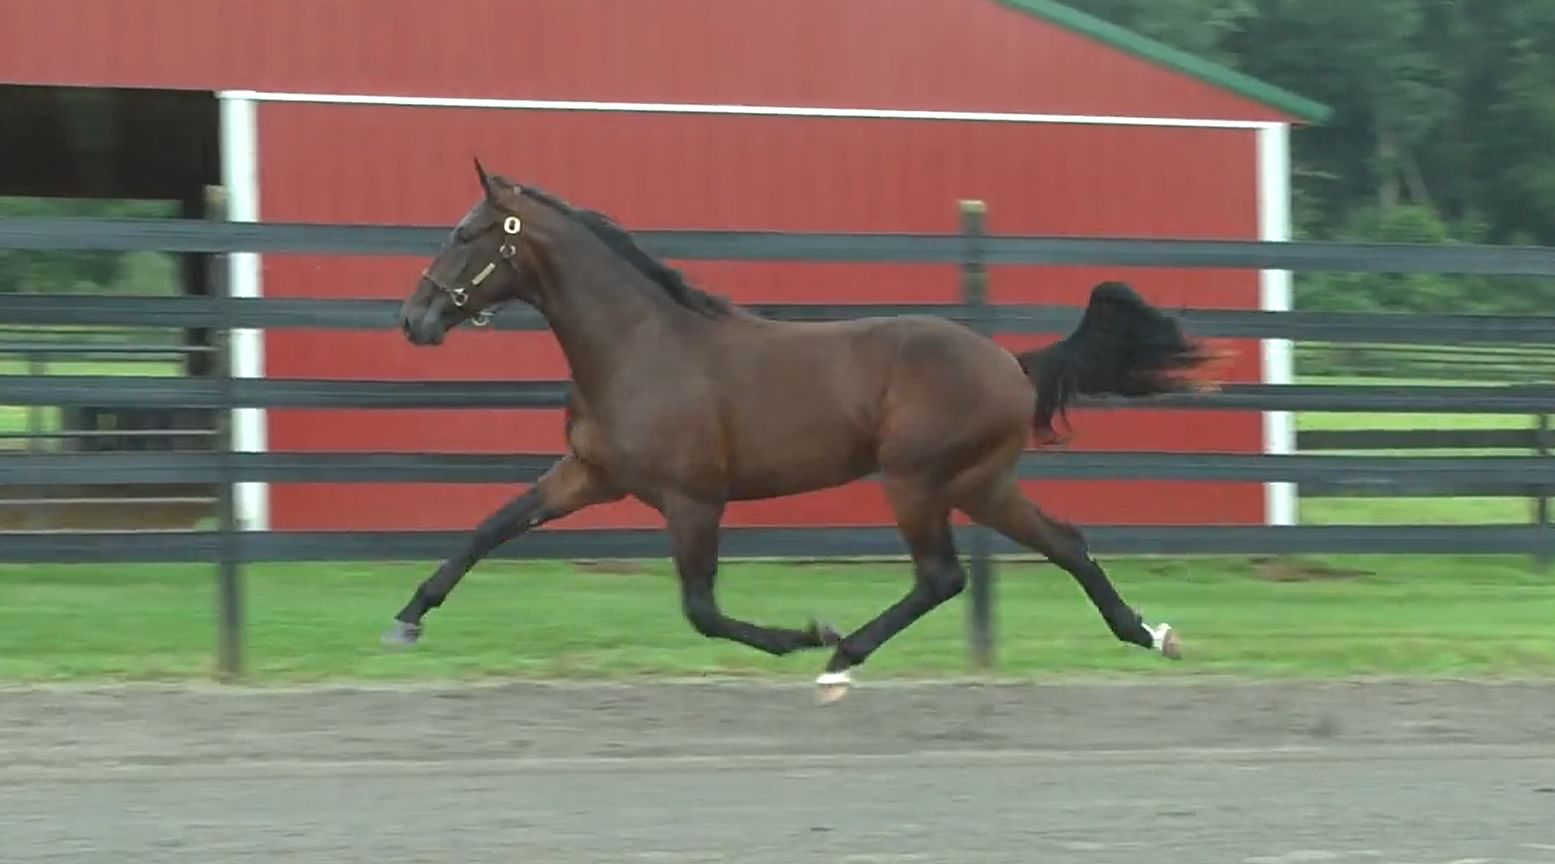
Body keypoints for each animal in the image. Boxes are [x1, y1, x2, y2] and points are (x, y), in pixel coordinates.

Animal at [385, 161, 1212, 702]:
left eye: (468, 233)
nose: (414, 319)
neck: (638, 346)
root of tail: (1011, 362)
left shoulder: (693, 499)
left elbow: (701, 609)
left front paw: (804, 634)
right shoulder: (587, 475)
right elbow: (489, 529)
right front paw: (406, 622)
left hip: (917, 481)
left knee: (942, 575)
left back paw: (840, 655)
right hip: (981, 484)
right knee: (1064, 542)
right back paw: (1150, 634)